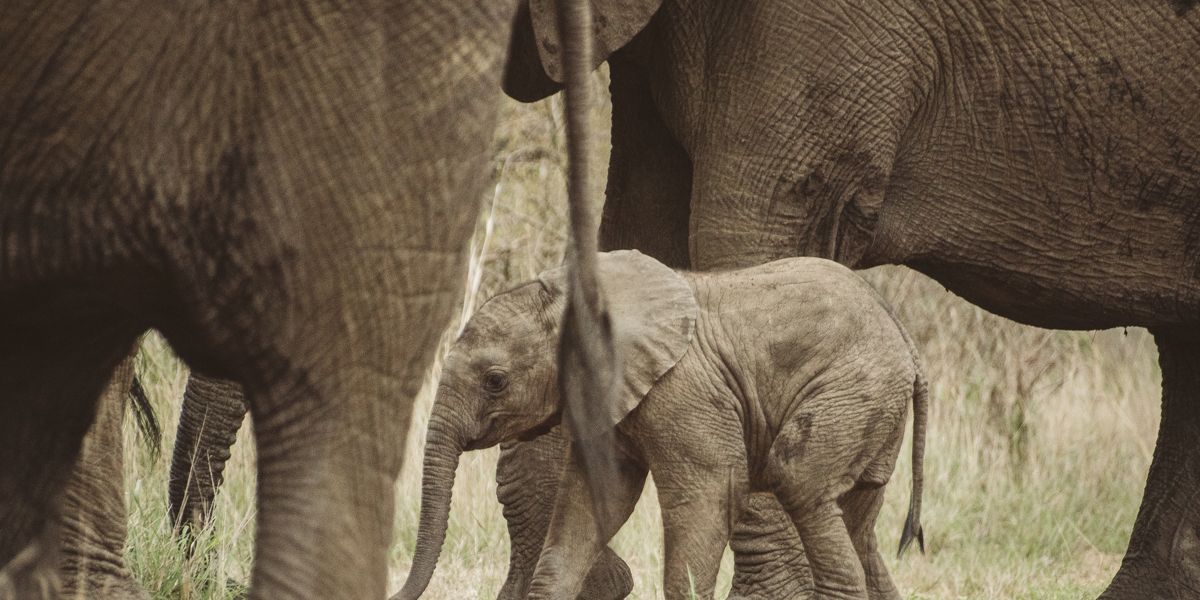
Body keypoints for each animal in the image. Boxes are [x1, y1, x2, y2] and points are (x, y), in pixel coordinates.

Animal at [400, 250, 928, 600]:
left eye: (495, 381)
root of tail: (906, 338)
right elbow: (594, 500)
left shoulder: (687, 394)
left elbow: (707, 497)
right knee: (859, 526)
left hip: (851, 389)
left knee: (798, 480)